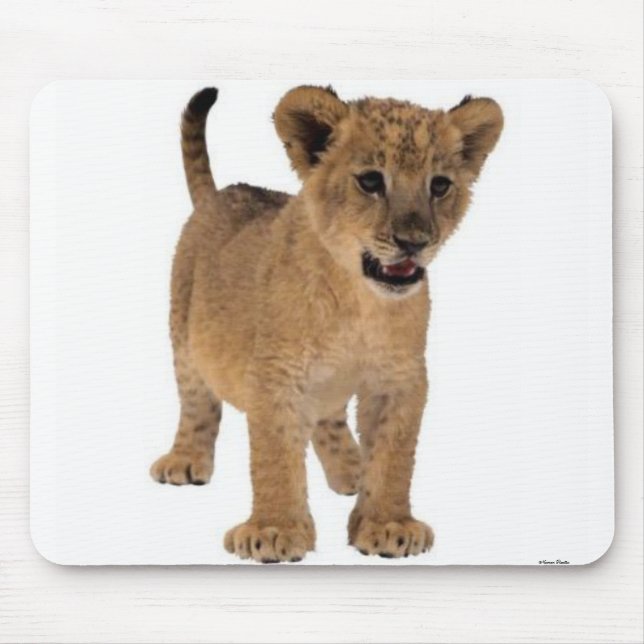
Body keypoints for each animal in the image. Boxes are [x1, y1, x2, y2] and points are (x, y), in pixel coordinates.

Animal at [150, 85, 503, 563]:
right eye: (371, 181)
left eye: (440, 185)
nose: (414, 243)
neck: (358, 301)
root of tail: (221, 194)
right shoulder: (274, 374)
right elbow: (275, 456)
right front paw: (274, 531)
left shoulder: (400, 376)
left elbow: (394, 455)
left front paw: (387, 524)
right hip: (183, 331)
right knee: (196, 401)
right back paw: (185, 460)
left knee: (329, 419)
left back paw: (351, 471)